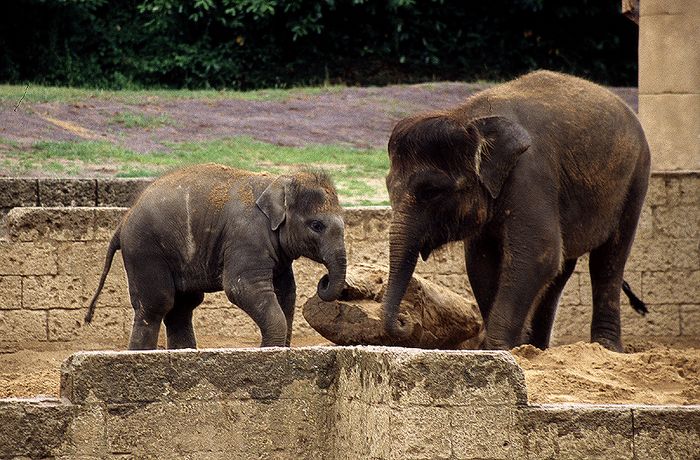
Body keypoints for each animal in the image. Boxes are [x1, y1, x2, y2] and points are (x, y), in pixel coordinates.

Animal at [382, 71, 652, 352]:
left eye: (431, 191)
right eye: (388, 186)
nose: (404, 320)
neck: (467, 117)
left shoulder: (529, 174)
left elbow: (538, 252)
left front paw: (500, 349)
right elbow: (481, 262)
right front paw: (511, 349)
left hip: (636, 177)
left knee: (608, 259)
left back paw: (605, 347)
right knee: (561, 269)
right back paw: (539, 349)